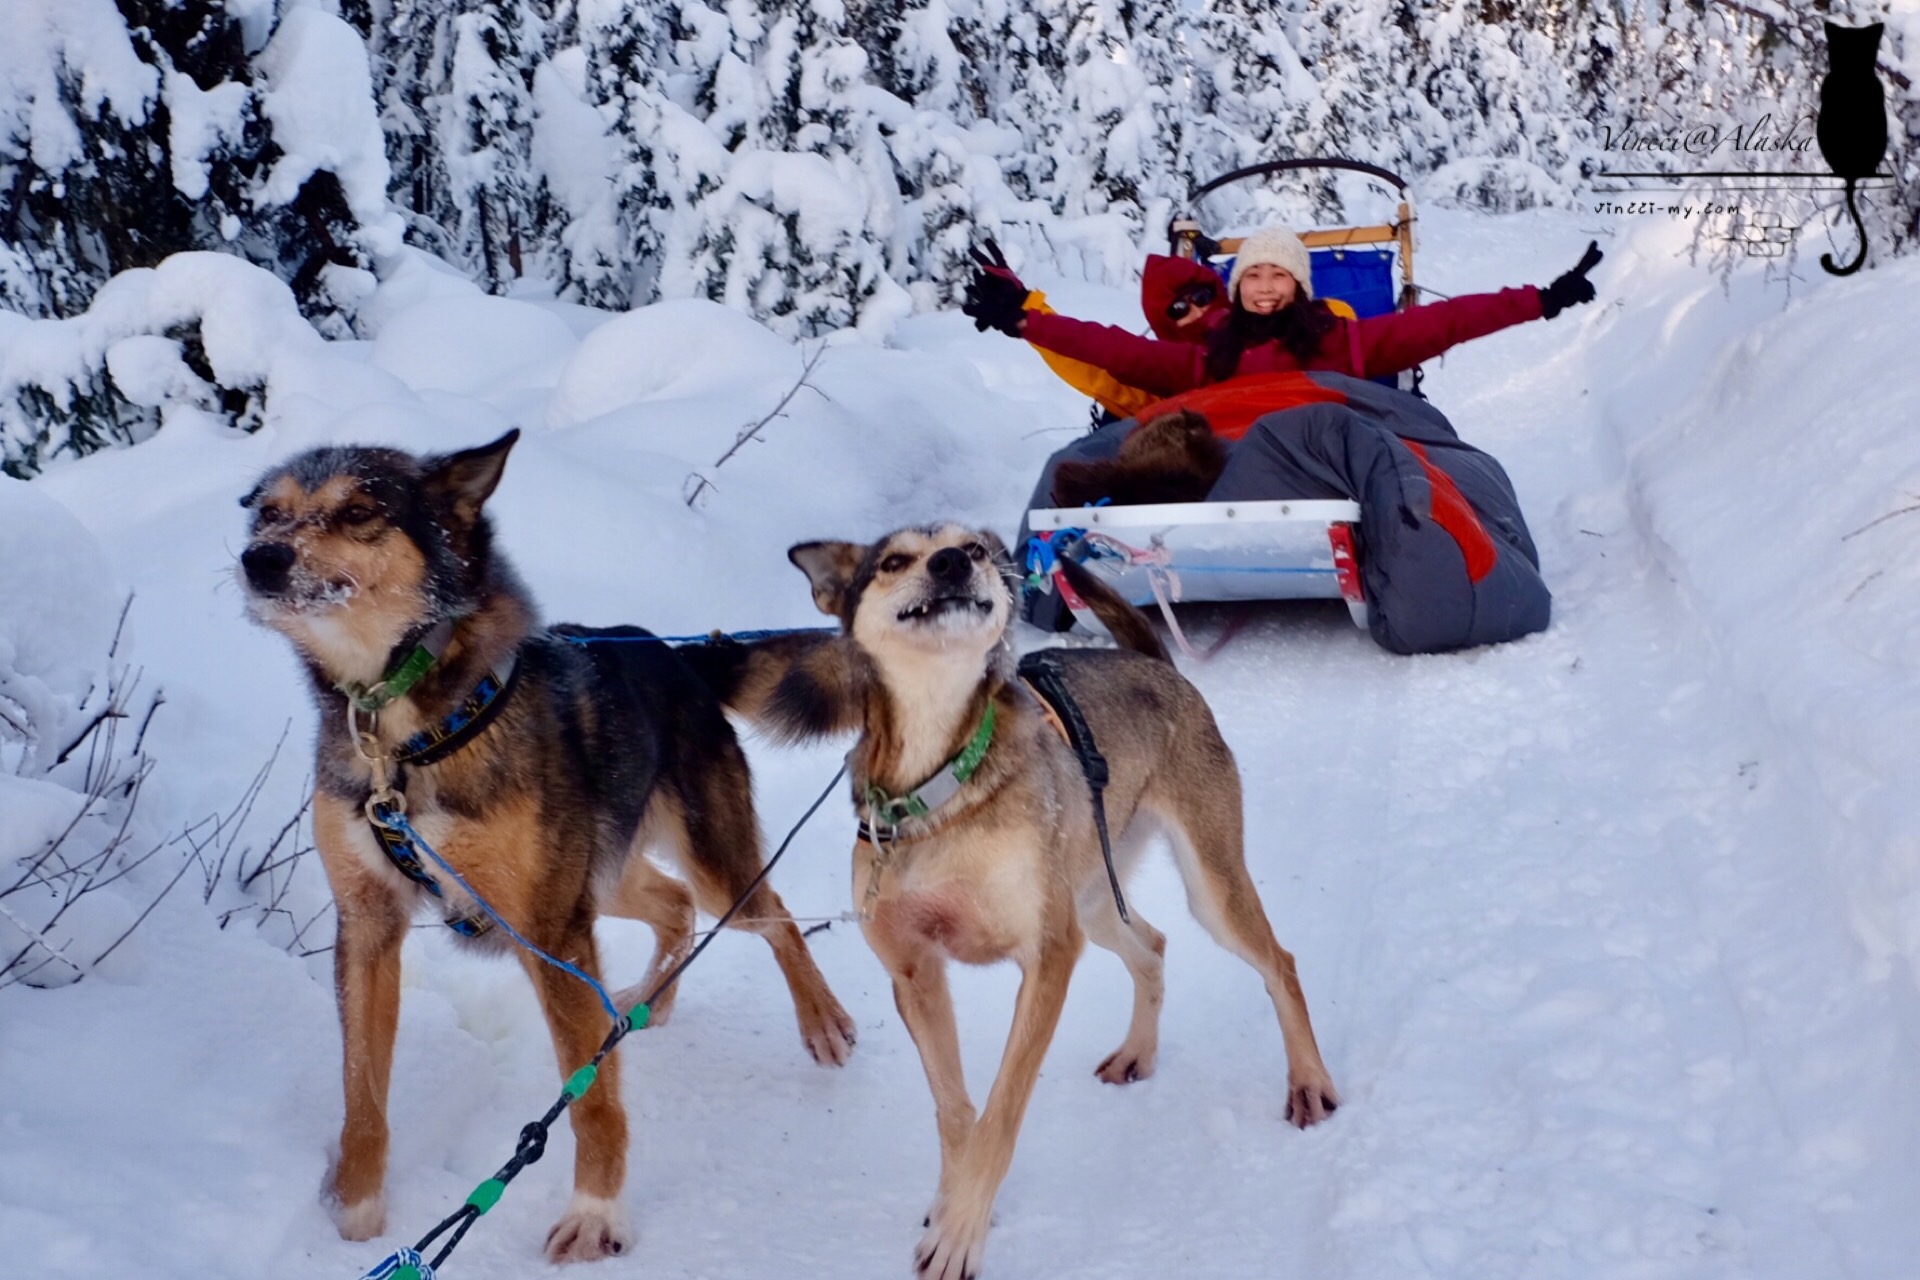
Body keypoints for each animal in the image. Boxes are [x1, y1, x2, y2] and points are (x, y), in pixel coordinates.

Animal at [236, 427, 852, 1258]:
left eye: (359, 510)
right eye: (268, 512)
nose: (260, 559)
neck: (407, 737)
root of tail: (674, 652)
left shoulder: (549, 930)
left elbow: (590, 1106)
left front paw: (596, 1214)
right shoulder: (369, 925)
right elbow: (360, 1088)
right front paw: (356, 1209)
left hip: (694, 866)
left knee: (771, 912)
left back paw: (822, 1022)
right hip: (602, 875)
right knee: (675, 905)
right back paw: (645, 1003)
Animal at [706, 521, 1336, 1280]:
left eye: (974, 549)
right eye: (894, 561)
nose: (953, 562)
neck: (942, 789)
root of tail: (1151, 663)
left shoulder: (1048, 957)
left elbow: (1001, 1110)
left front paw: (962, 1232)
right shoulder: (916, 974)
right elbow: (955, 1111)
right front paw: (952, 1202)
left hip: (1206, 889)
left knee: (1281, 962)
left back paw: (1308, 1082)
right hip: (1094, 900)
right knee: (1153, 947)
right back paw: (1138, 1052)